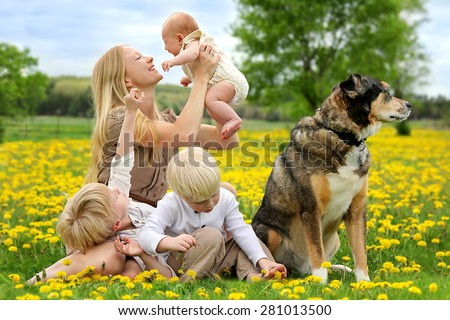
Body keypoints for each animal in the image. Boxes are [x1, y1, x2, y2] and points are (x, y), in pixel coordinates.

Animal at [251, 73, 414, 282]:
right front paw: (320, 282)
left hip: (335, 239)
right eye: (385, 91)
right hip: (269, 232)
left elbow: (360, 252)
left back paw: (339, 268)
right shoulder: (311, 210)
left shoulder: (356, 210)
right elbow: (316, 251)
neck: (343, 136)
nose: (410, 104)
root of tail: (295, 267)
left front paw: (364, 282)